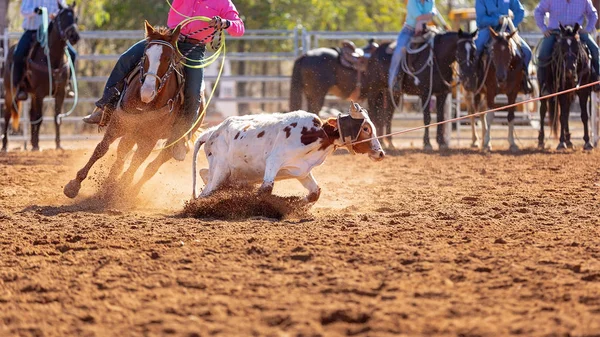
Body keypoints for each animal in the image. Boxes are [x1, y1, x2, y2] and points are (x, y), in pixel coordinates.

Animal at [1, 2, 79, 151]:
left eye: (76, 18)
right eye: (62, 18)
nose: (74, 36)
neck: (52, 59)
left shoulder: (60, 93)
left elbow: (56, 117)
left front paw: (58, 145)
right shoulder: (40, 92)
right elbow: (39, 117)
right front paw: (36, 145)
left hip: (32, 94)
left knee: (31, 115)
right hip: (10, 91)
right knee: (7, 114)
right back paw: (5, 145)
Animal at [63, 21, 190, 198]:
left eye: (168, 58)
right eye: (145, 56)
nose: (147, 92)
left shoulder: (150, 138)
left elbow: (137, 162)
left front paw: (121, 189)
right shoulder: (118, 123)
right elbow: (101, 149)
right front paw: (74, 185)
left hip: (167, 140)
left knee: (151, 166)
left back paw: (128, 189)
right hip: (131, 131)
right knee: (123, 153)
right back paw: (111, 181)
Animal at [192, 101, 382, 201]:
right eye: (366, 128)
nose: (380, 153)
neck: (317, 133)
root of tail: (213, 131)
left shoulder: (301, 171)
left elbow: (315, 192)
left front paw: (296, 202)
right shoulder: (274, 161)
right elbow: (266, 189)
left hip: (224, 173)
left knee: (204, 174)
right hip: (221, 170)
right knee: (205, 192)